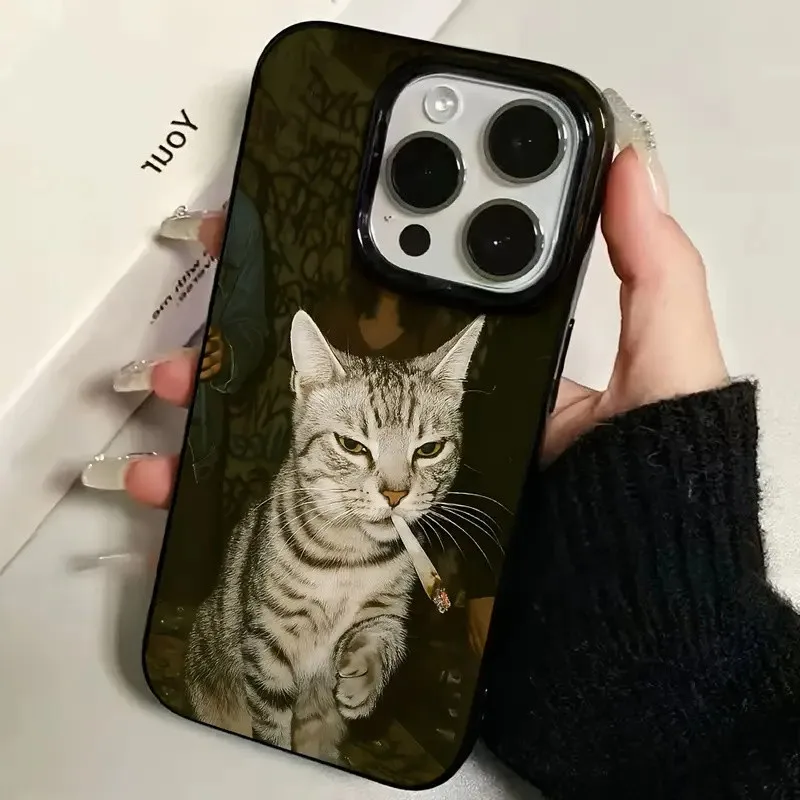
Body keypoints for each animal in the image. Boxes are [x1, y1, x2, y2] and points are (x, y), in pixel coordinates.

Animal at [184, 308, 484, 762]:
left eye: (429, 450)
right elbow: (271, 723)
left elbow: (385, 637)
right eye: (351, 445)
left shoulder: (387, 610)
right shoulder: (268, 643)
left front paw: (362, 677)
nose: (395, 494)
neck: (350, 553)